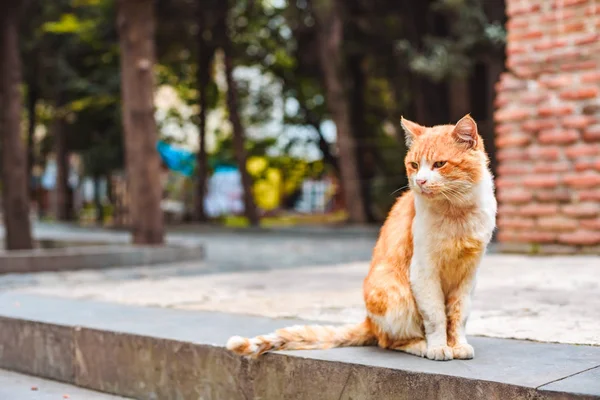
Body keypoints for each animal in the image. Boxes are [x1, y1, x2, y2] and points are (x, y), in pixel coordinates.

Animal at [226, 114, 496, 360]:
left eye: (439, 164)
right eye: (414, 165)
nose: (419, 181)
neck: (456, 213)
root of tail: (368, 321)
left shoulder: (468, 275)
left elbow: (458, 316)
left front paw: (457, 345)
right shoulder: (424, 272)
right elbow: (437, 316)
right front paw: (439, 347)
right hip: (395, 294)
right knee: (387, 341)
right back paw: (420, 345)